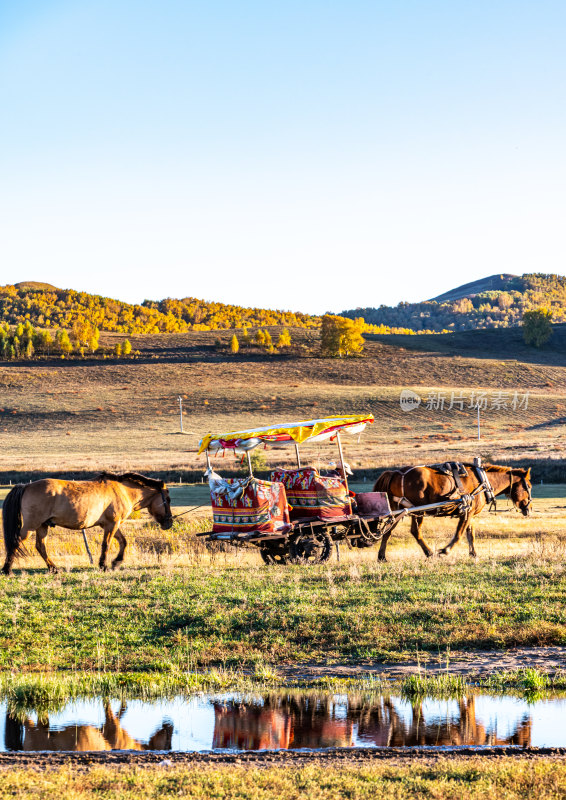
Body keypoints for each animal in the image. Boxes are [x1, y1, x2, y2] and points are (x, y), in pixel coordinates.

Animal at [1, 468, 173, 576]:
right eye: (168, 499)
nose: (169, 523)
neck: (122, 490)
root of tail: (26, 486)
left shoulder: (111, 525)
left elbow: (123, 542)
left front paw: (116, 562)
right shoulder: (111, 525)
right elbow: (106, 544)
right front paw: (104, 565)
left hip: (42, 526)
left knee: (40, 547)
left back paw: (54, 569)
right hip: (31, 526)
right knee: (16, 542)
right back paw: (7, 570)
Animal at [374, 462, 536, 564]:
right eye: (528, 486)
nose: (529, 509)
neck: (482, 482)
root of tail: (396, 473)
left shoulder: (470, 514)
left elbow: (471, 534)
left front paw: (473, 554)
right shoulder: (466, 512)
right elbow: (459, 534)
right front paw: (445, 550)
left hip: (397, 509)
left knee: (388, 531)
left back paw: (382, 556)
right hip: (417, 511)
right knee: (415, 531)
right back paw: (429, 553)